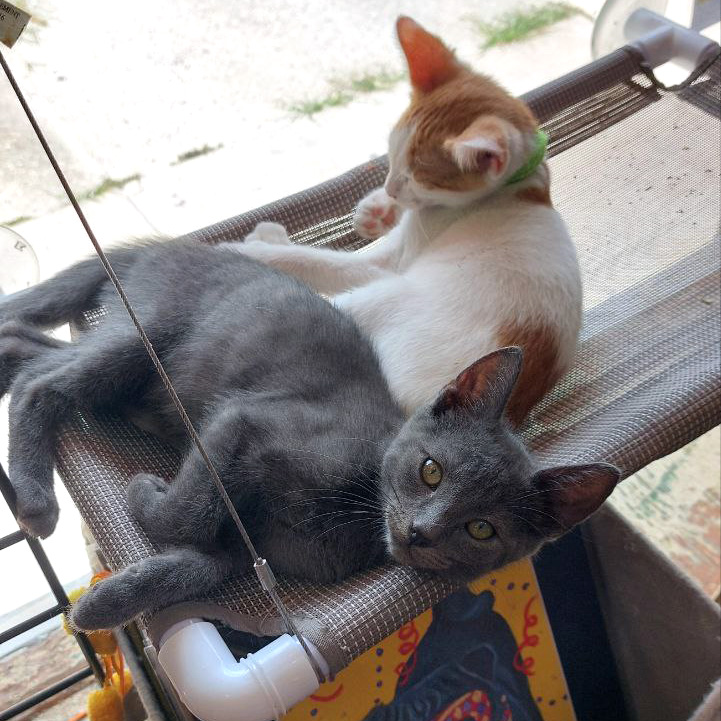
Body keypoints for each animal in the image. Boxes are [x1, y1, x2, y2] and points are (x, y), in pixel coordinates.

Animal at [0, 239, 620, 628]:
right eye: (431, 470)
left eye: (481, 529)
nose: (420, 532)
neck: (353, 513)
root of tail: (160, 247)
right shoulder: (242, 424)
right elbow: (189, 513)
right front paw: (143, 496)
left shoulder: (249, 552)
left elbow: (201, 566)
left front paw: (102, 605)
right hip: (147, 332)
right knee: (42, 383)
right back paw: (35, 502)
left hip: (132, 370)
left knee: (29, 348)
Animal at [228, 16, 584, 424]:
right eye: (392, 154)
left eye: (418, 177)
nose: (391, 187)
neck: (518, 185)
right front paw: (372, 210)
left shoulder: (391, 263)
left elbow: (324, 261)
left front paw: (255, 250)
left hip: (377, 301)